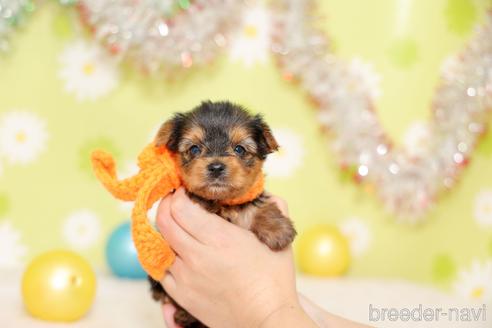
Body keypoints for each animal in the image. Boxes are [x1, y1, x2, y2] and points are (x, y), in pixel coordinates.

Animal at [149, 101, 296, 326]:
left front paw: (278, 229)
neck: (222, 201)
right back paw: (184, 315)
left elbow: (257, 206)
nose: (216, 167)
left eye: (239, 149)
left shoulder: (249, 198)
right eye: (194, 148)